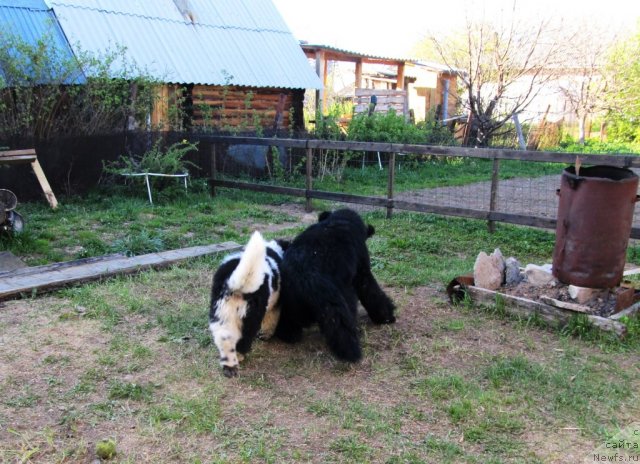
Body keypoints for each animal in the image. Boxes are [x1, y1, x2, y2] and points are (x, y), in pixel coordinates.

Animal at [209, 232, 286, 376]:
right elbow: (271, 320)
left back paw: (229, 366)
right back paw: (240, 356)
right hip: (250, 317)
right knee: (243, 339)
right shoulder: (275, 305)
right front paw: (265, 335)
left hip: (222, 312)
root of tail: (237, 285)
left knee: (225, 338)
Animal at [276, 208, 396, 362]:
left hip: (290, 303)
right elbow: (371, 291)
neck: (340, 221)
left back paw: (288, 334)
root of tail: (305, 275)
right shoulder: (362, 272)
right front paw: (386, 316)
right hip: (339, 302)